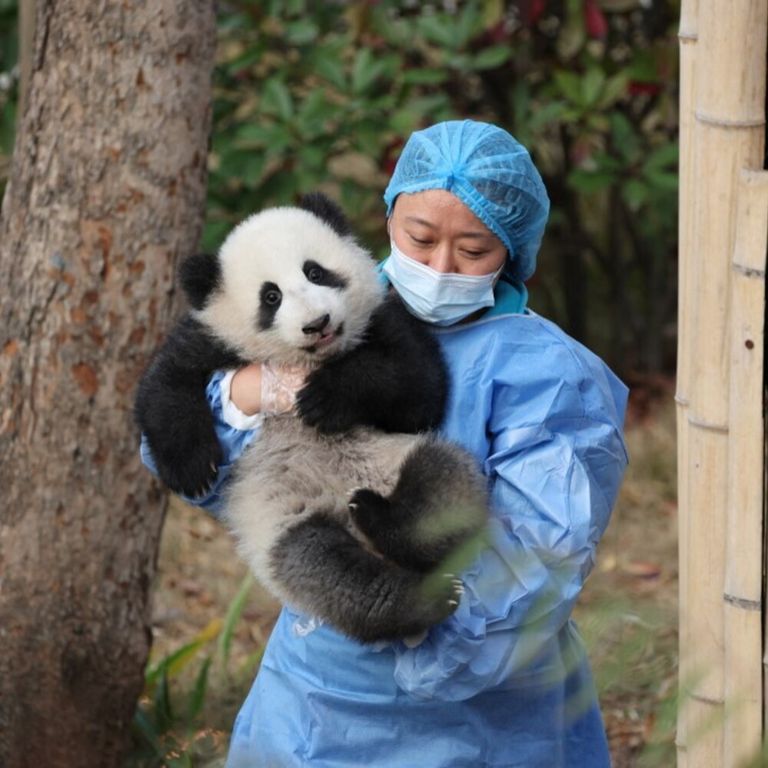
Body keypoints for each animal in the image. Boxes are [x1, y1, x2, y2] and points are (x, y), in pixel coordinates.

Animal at [136, 193, 489, 643]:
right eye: (271, 297)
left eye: (315, 272)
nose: (317, 324)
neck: (311, 359)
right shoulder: (210, 338)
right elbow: (165, 385)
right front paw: (193, 469)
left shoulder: (383, 319)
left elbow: (417, 387)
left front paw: (325, 398)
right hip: (287, 521)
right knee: (325, 571)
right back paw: (416, 599)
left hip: (402, 458)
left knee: (441, 489)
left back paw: (383, 519)